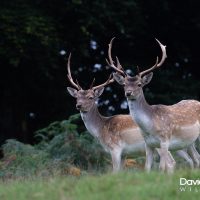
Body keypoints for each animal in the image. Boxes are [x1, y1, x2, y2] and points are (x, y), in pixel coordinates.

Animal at [66, 52, 196, 171]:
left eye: (90, 97)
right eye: (76, 97)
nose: (78, 105)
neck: (101, 129)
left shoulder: (115, 149)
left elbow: (115, 172)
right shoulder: (124, 154)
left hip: (163, 144)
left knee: (175, 162)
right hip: (182, 144)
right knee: (191, 159)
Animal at [107, 38, 200, 173]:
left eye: (139, 84)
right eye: (124, 84)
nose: (128, 93)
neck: (149, 126)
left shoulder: (165, 140)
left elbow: (165, 166)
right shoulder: (148, 144)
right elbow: (147, 167)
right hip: (189, 141)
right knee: (197, 158)